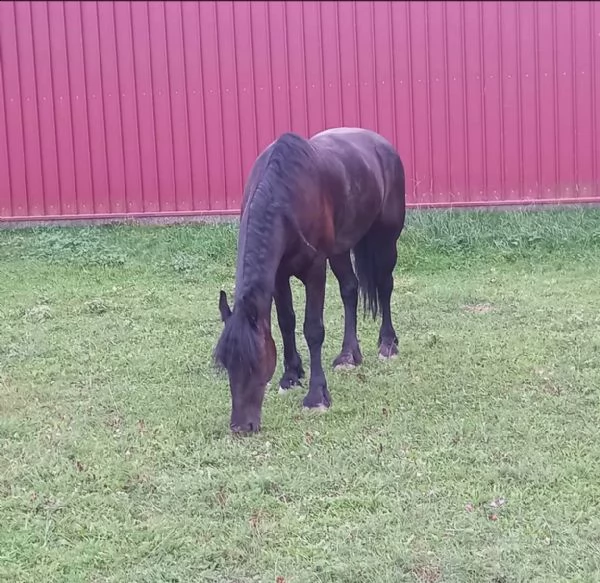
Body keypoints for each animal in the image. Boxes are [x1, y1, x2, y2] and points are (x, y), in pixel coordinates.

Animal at [213, 128, 406, 434]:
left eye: (254, 364)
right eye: (226, 363)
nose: (242, 427)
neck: (286, 194)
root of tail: (382, 144)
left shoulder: (315, 269)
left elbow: (313, 329)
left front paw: (316, 396)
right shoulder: (279, 276)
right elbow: (286, 322)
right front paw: (291, 376)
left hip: (386, 238)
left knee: (385, 285)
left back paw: (388, 345)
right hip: (340, 250)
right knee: (350, 290)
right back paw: (348, 356)